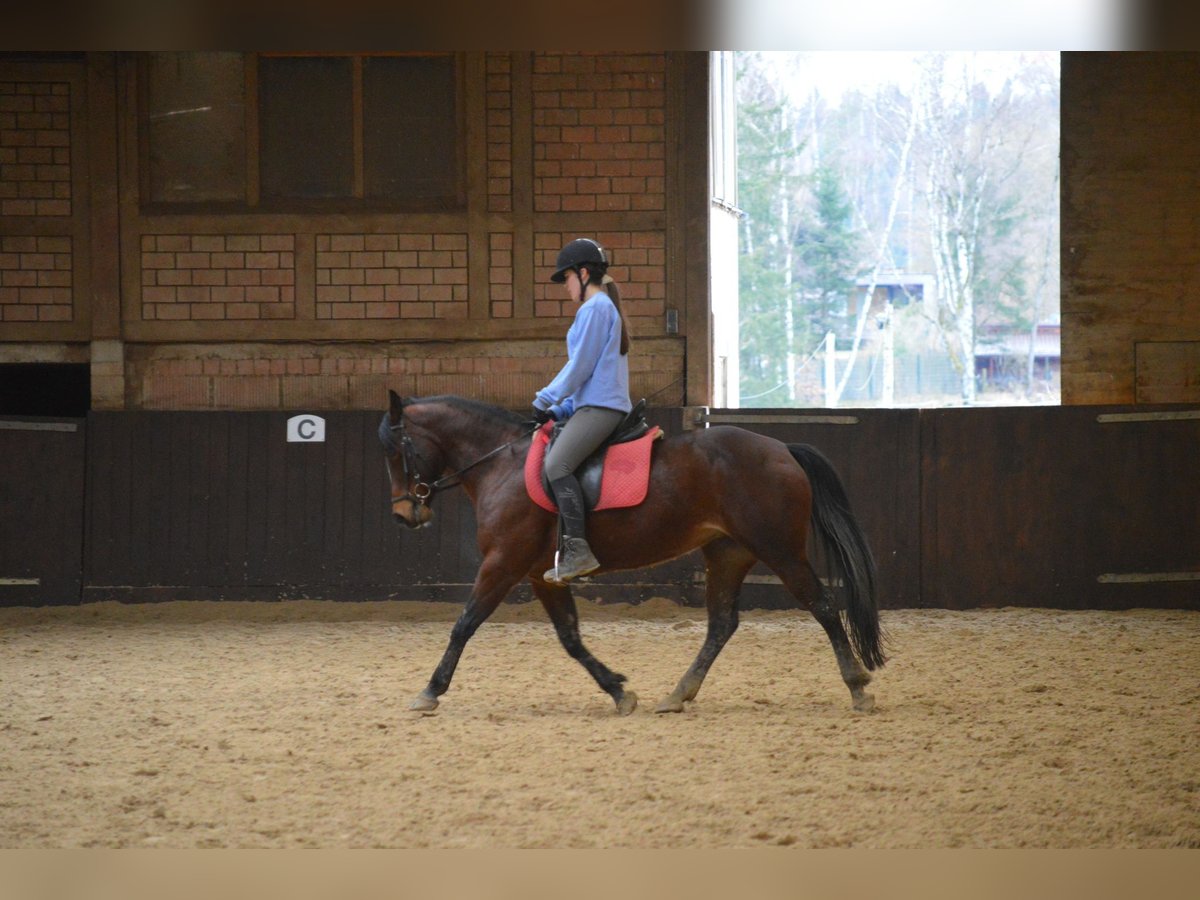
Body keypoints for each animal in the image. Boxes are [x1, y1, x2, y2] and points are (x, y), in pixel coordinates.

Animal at [379, 393, 888, 720]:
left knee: (822, 605)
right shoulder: (541, 575)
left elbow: (464, 624)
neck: (499, 464)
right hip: (729, 553)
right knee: (722, 624)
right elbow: (570, 639)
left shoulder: (503, 563)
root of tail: (782, 448)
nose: (404, 514)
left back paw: (857, 687)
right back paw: (678, 694)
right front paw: (618, 691)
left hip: (778, 549)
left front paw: (429, 691)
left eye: (396, 450)